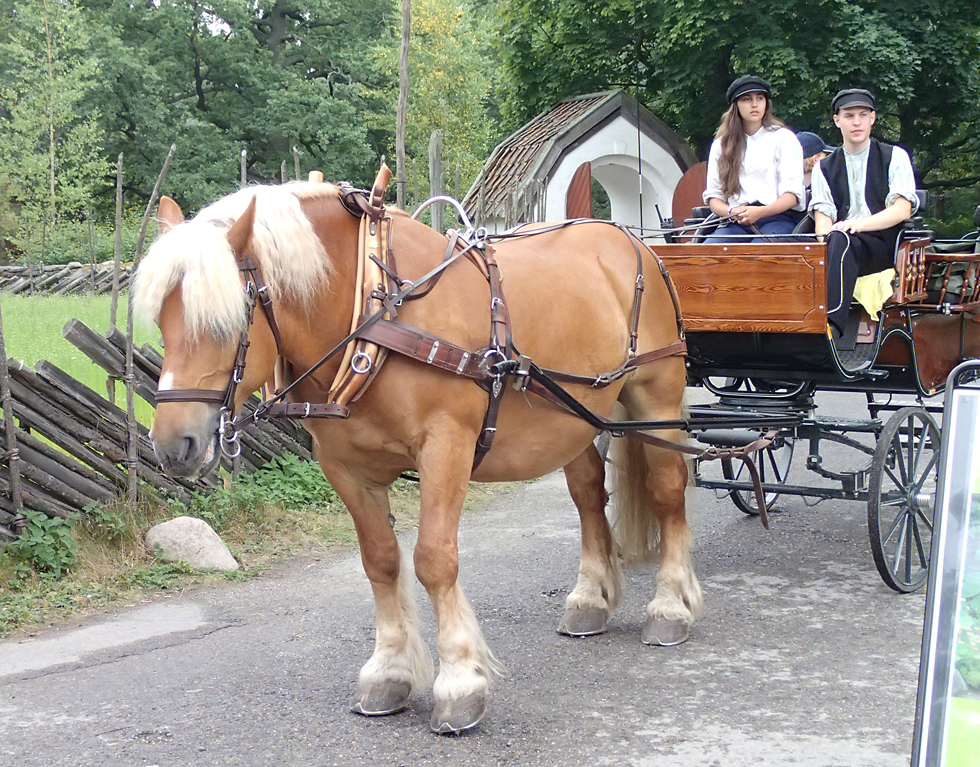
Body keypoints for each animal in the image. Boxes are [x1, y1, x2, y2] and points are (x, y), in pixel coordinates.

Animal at [133, 168, 703, 735]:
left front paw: (459, 683)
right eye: (160, 319)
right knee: (588, 499)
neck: (373, 309)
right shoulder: (345, 468)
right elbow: (381, 562)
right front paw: (388, 672)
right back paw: (590, 599)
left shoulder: (445, 447)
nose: (171, 445)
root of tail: (632, 240)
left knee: (667, 491)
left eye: (225, 321)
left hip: (655, 398)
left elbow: (433, 559)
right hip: (574, 421)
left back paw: (670, 606)